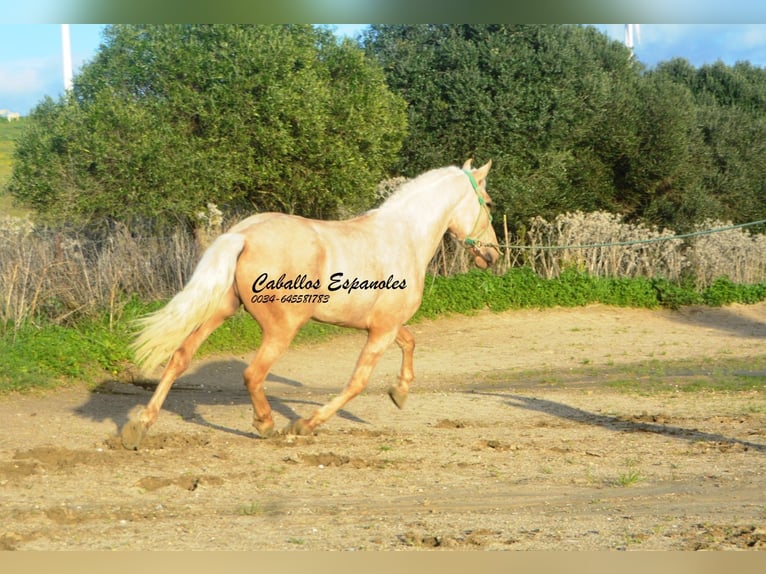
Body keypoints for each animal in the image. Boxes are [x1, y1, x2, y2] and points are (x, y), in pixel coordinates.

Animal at [121, 159, 500, 449]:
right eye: (489, 202)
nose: (493, 255)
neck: (404, 236)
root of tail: (243, 235)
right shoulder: (382, 330)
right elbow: (358, 382)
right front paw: (304, 424)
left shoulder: (386, 326)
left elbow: (410, 342)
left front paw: (400, 392)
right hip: (281, 329)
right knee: (252, 374)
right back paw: (266, 424)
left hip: (220, 310)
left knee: (180, 357)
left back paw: (140, 426)